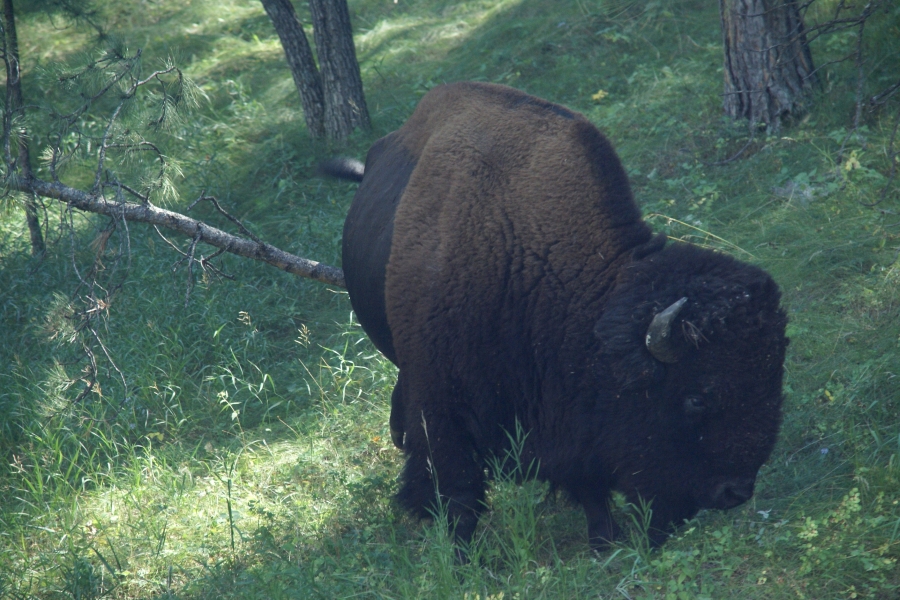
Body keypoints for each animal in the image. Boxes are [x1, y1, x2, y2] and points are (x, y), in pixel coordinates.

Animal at [326, 81, 788, 549]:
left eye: (773, 376)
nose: (735, 492)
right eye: (696, 398)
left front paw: (604, 542)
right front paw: (459, 553)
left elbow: (588, 482)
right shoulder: (444, 404)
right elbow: (461, 490)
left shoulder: (569, 414)